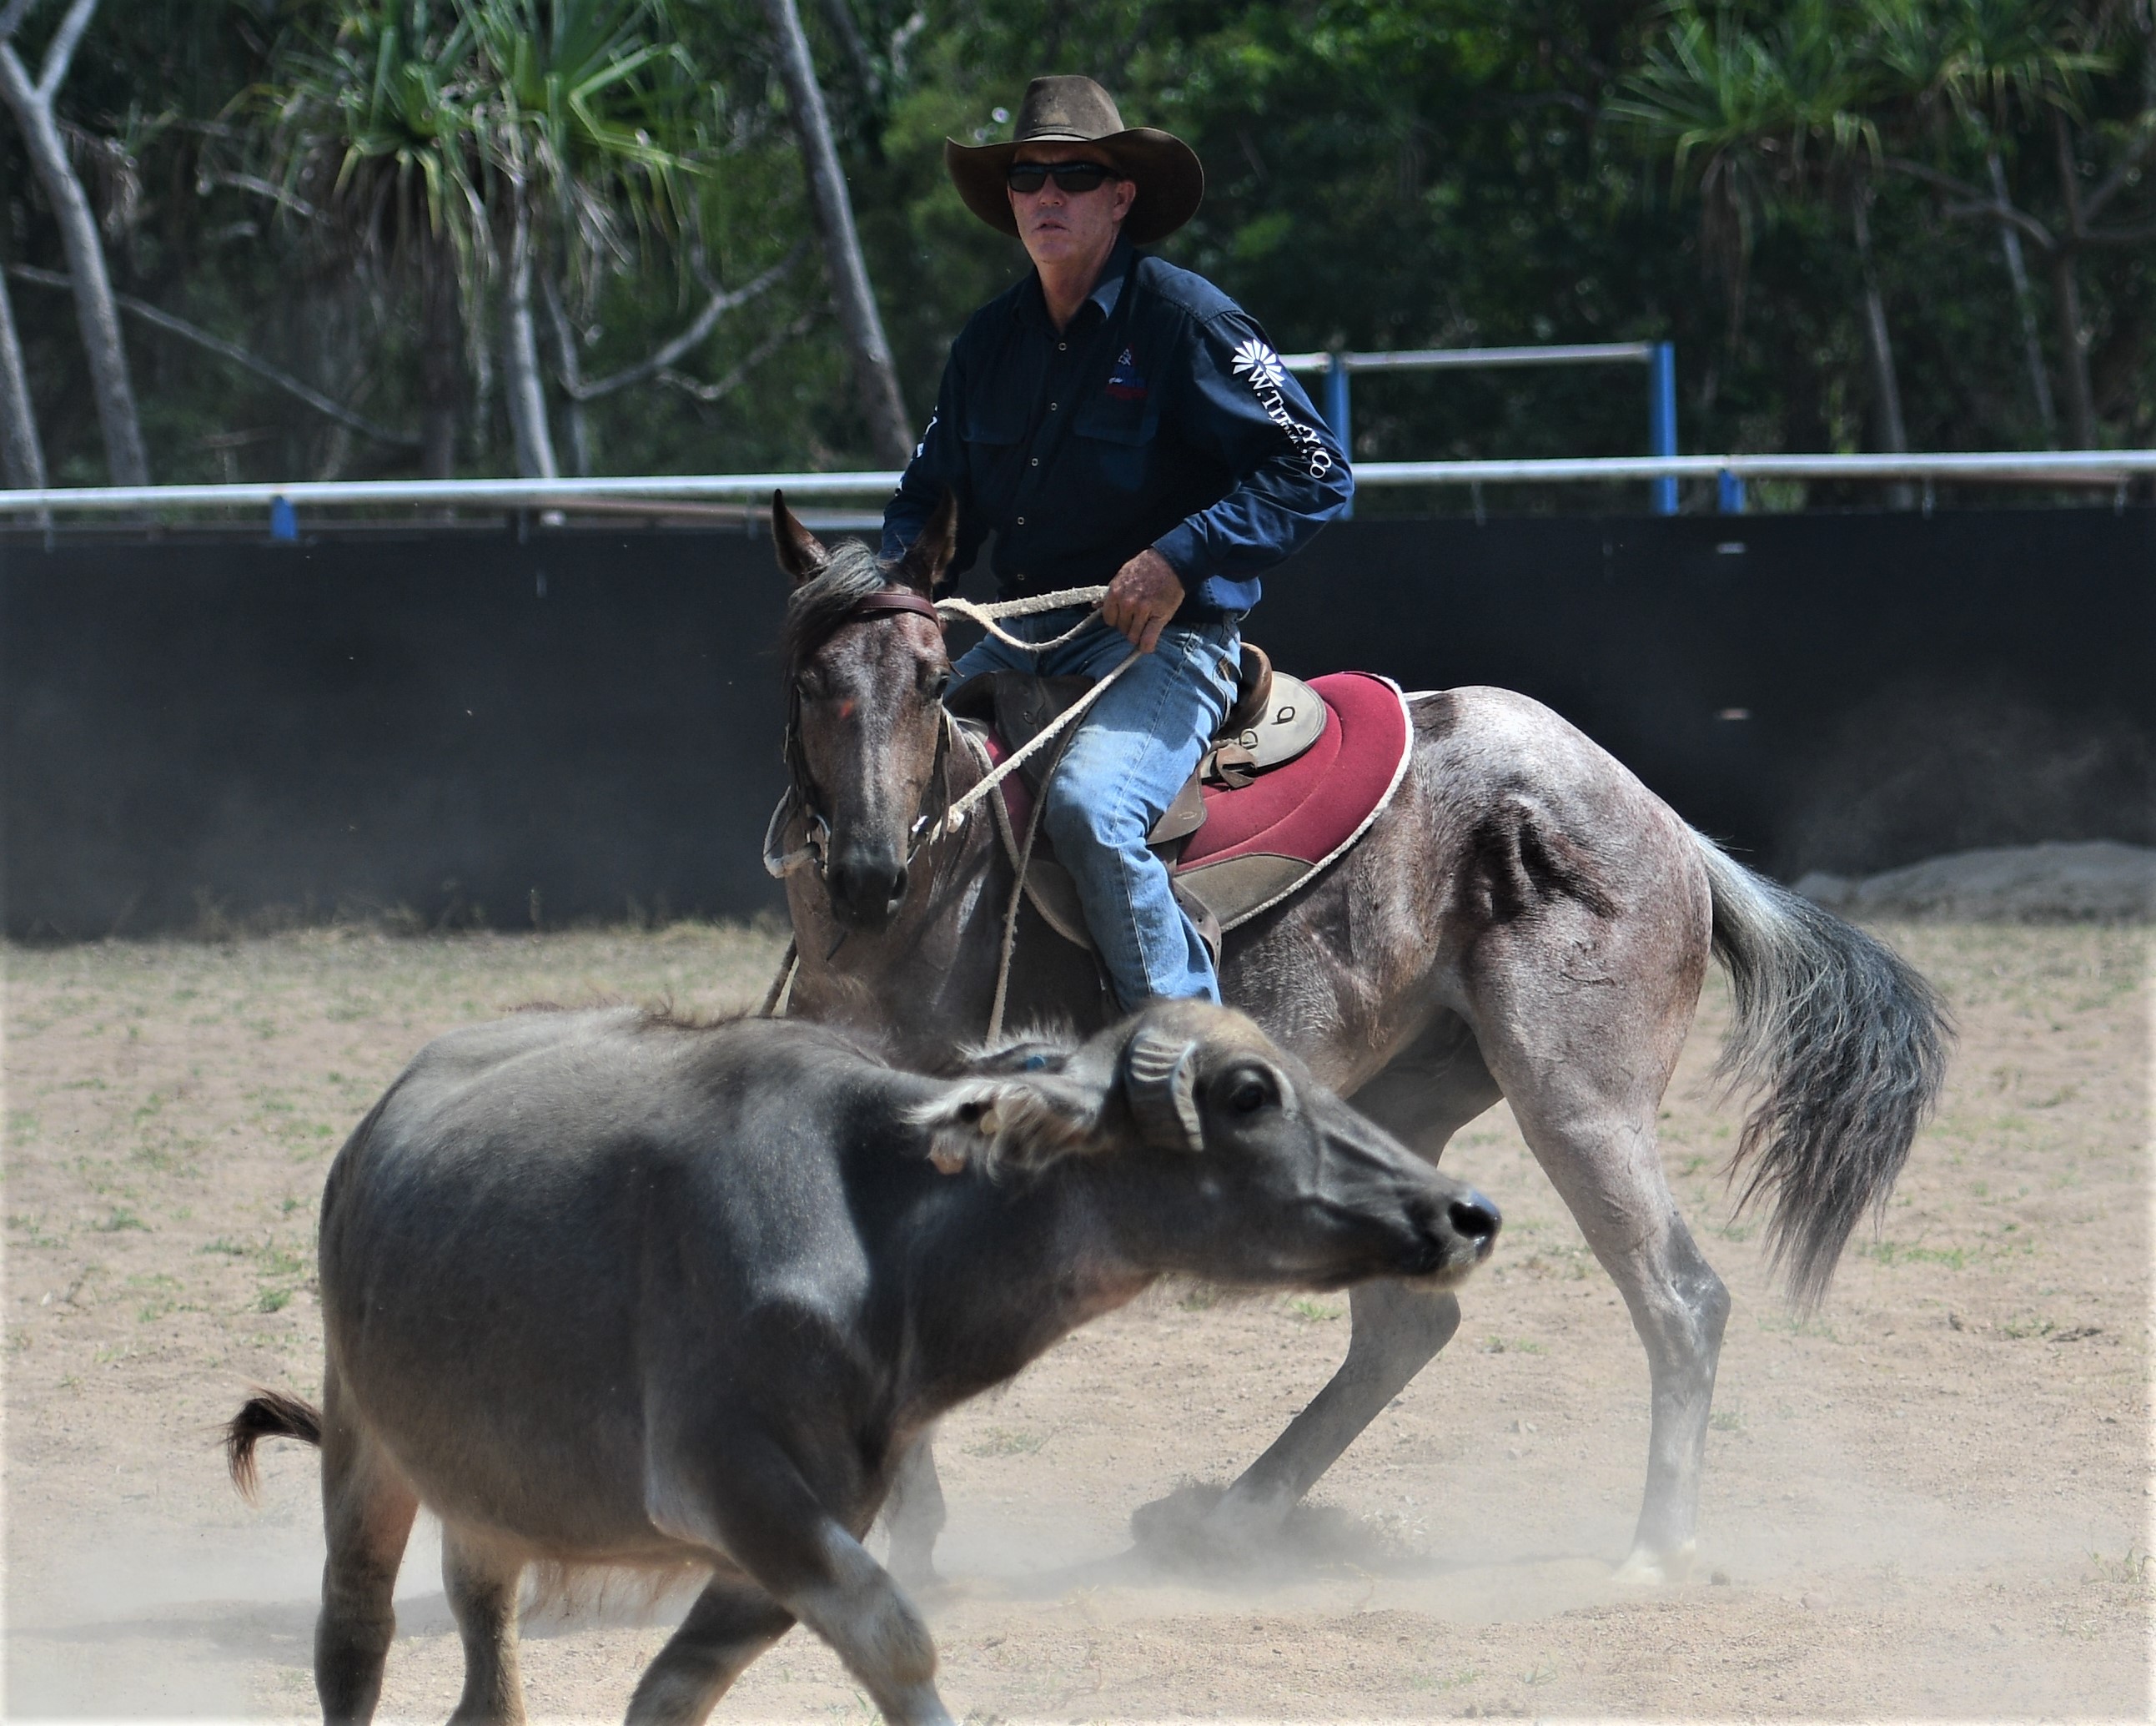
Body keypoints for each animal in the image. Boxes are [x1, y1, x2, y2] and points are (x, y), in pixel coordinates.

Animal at [227, 1000, 1500, 1725]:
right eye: (1246, 1092)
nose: (1465, 1211)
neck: (880, 1238)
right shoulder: (735, 1486)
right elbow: (899, 1637)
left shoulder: (800, 1527)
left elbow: (673, 1690)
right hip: (364, 1450)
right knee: (353, 1644)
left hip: (490, 1503)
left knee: (485, 1676)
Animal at [763, 492, 1948, 1585]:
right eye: (810, 681)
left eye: (929, 678)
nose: (867, 871)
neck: (943, 887)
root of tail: (1665, 822)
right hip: (1400, 1102)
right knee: (1403, 1327)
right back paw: (1225, 1522)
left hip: (1579, 1102)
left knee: (1679, 1298)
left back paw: (1654, 1548)